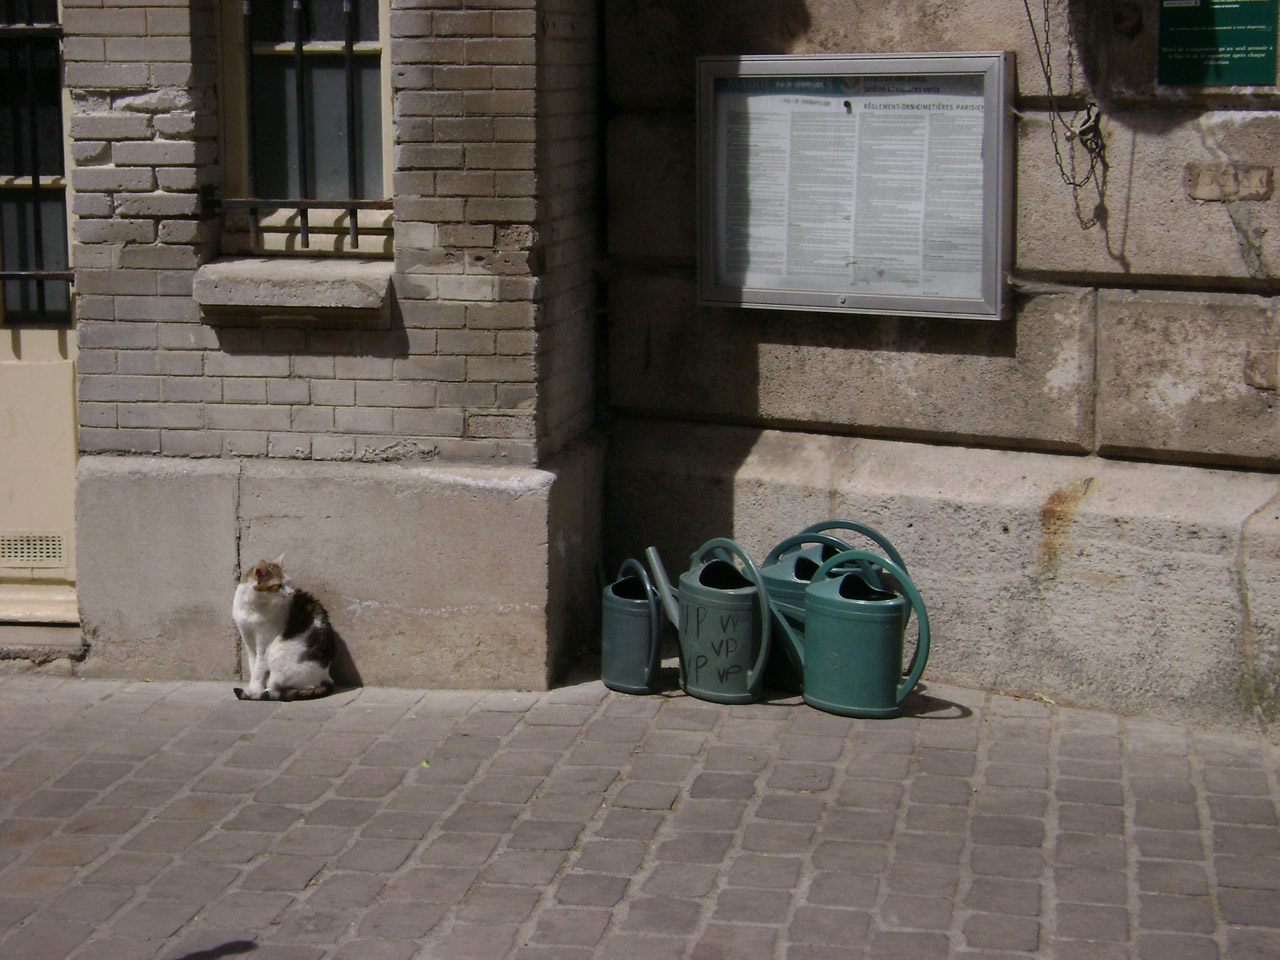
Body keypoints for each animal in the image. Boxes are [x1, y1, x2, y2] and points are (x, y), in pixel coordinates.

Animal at [231, 555, 335, 701]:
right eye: (278, 585)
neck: (252, 608)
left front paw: (254, 689)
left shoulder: (264, 644)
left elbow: (258, 669)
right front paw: (254, 686)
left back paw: (259, 694)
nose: (291, 593)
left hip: (276, 652)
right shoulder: (247, 638)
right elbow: (253, 665)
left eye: (289, 582)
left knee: (276, 689)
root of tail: (326, 676)